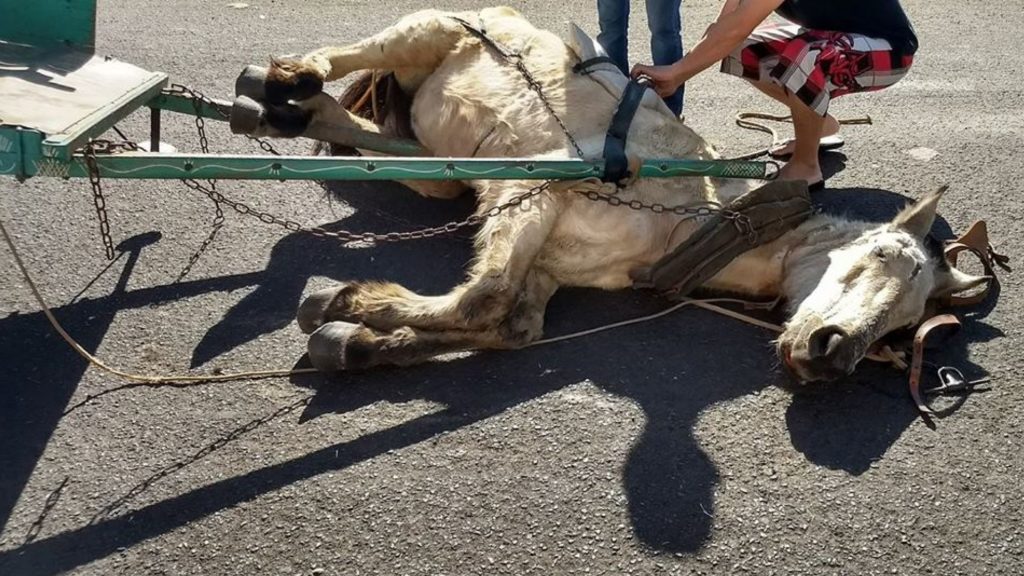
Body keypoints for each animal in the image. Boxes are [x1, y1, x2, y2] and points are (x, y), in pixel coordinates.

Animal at [250, 6, 986, 382]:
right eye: (878, 258)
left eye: (904, 327)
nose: (834, 354)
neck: (691, 218)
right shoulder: (532, 188)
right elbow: (485, 297)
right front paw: (341, 304)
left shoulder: (548, 263)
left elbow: (511, 326)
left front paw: (357, 336)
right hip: (425, 32)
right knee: (346, 55)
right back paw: (280, 80)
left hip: (439, 167)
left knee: (365, 134)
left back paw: (296, 114)